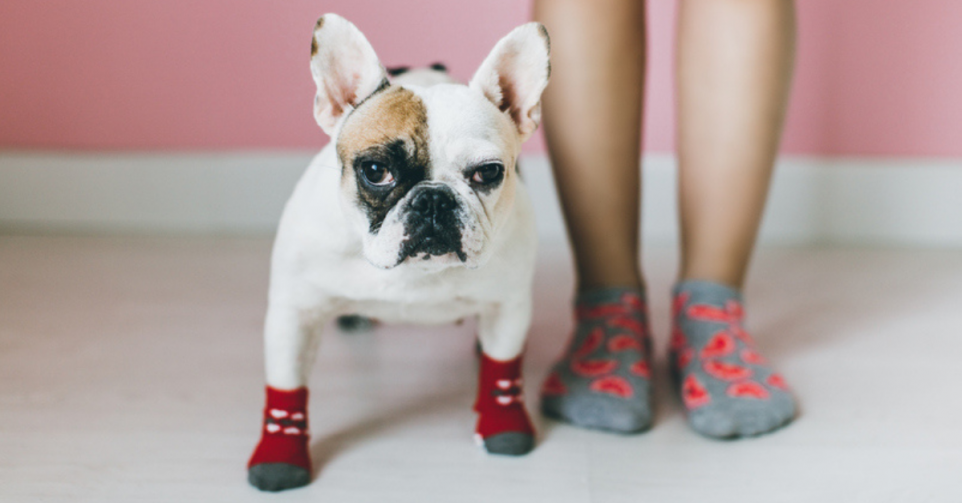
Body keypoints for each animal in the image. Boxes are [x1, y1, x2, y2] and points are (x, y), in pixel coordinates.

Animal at [246, 12, 548, 492]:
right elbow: (287, 384)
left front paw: (504, 425)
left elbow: (503, 363)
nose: (434, 199)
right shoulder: (295, 313)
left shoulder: (509, 306)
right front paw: (280, 456)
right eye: (375, 170)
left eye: (488, 173)